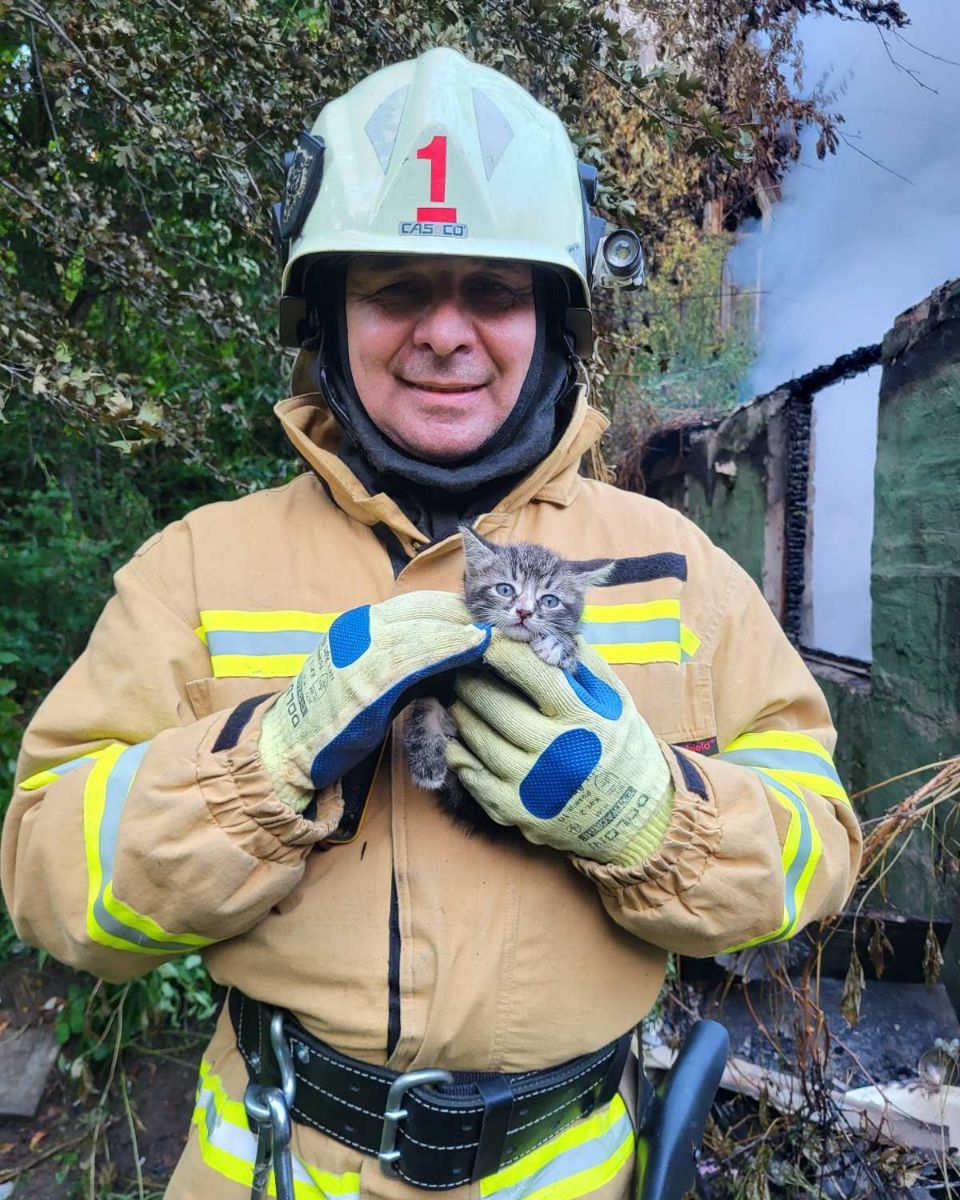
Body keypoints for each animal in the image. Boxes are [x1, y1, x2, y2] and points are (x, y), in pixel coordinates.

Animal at [400, 530, 612, 840]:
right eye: (504, 589)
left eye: (550, 601)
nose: (524, 612)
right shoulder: (444, 674)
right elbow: (425, 704)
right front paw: (426, 758)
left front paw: (561, 645)